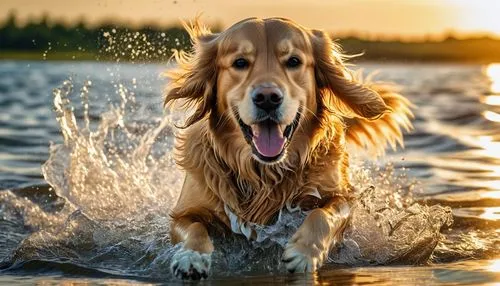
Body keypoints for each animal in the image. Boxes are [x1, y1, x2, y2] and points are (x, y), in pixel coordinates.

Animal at [164, 17, 414, 280]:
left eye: (294, 61)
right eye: (240, 62)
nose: (267, 98)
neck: (262, 174)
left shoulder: (342, 197)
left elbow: (324, 215)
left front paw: (304, 252)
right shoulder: (183, 212)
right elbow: (194, 226)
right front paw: (191, 257)